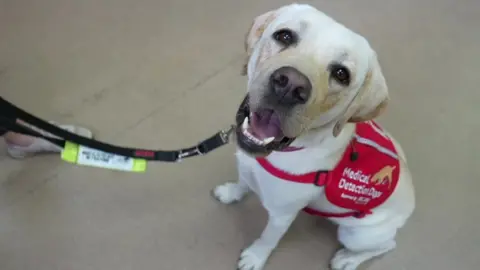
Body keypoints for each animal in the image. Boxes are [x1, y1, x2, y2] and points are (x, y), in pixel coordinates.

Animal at [212, 2, 414, 270]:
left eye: (341, 74)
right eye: (284, 36)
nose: (289, 86)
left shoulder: (282, 216)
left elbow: (268, 239)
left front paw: (255, 257)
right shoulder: (246, 167)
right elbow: (243, 182)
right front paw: (231, 193)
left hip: (356, 234)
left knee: (387, 245)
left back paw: (347, 259)